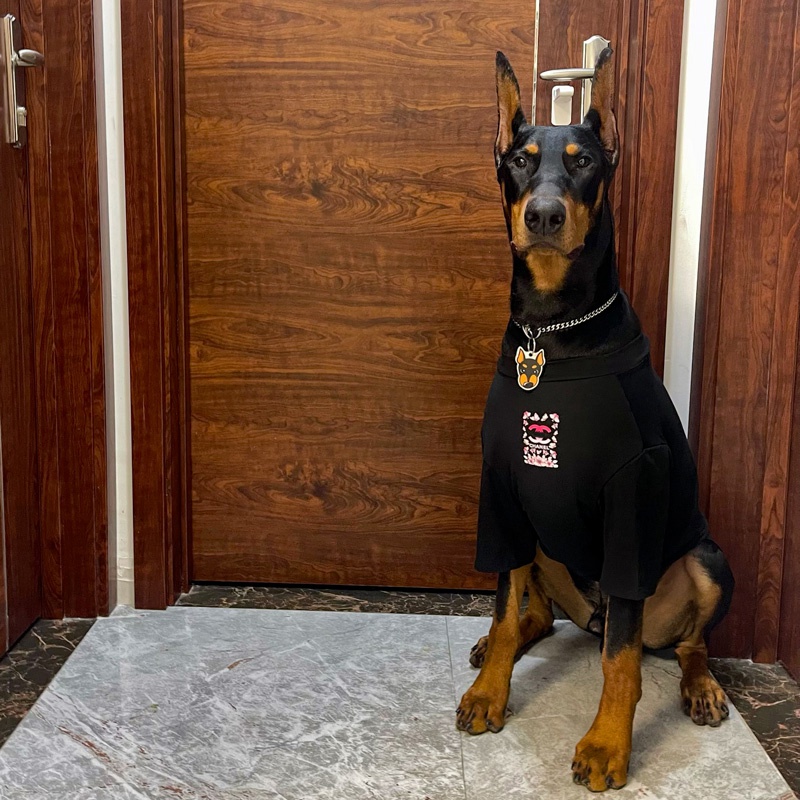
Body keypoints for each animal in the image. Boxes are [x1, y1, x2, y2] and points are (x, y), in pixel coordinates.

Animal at [455, 48, 734, 793]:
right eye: (521, 160)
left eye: (583, 162)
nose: (545, 215)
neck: (551, 334)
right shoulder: (501, 491)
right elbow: (504, 607)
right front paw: (491, 694)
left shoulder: (630, 499)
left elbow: (621, 662)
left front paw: (608, 744)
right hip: (540, 541)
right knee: (539, 618)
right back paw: (496, 649)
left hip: (705, 560)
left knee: (685, 643)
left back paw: (702, 688)